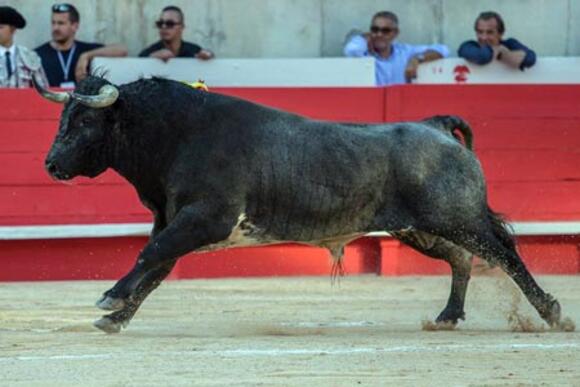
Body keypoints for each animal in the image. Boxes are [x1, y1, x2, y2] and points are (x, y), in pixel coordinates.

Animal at [32, 76, 560, 334]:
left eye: (83, 121)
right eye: (63, 117)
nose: (51, 164)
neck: (176, 135)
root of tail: (434, 124)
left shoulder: (204, 218)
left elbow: (149, 257)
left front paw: (110, 299)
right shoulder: (174, 221)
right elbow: (156, 266)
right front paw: (116, 317)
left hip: (457, 217)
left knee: (504, 253)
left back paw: (551, 312)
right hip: (421, 229)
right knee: (462, 259)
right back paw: (448, 317)